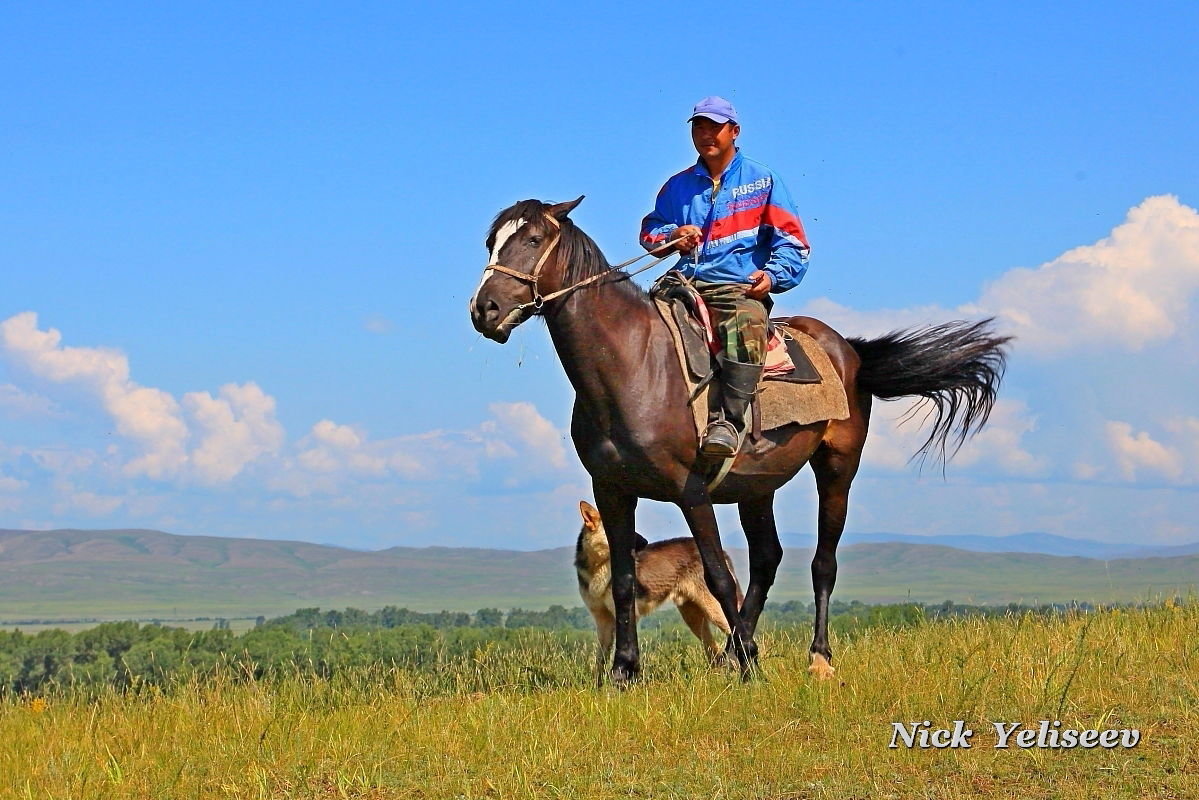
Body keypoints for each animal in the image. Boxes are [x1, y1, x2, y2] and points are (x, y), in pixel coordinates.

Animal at [573, 501, 738, 676]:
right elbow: (600, 660)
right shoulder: (602, 620)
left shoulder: (627, 614)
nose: (645, 542)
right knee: (714, 651)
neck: (598, 568)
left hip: (713, 610)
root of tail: (723, 553)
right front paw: (599, 682)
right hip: (693, 618)